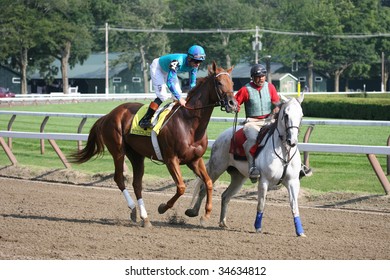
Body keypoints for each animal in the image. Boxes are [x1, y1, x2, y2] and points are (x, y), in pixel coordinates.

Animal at [70, 61, 238, 228]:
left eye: (232, 83)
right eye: (219, 82)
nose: (233, 104)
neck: (189, 123)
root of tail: (108, 115)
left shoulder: (194, 160)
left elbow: (208, 182)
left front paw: (205, 214)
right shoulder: (171, 159)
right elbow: (181, 187)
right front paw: (163, 207)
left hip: (136, 155)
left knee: (137, 184)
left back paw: (145, 218)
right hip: (118, 151)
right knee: (119, 178)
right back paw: (133, 209)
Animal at [184, 94, 306, 236]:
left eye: (301, 115)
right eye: (286, 115)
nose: (292, 141)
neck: (283, 151)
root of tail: (222, 136)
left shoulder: (293, 182)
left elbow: (294, 206)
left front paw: (300, 231)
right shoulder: (264, 181)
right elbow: (261, 204)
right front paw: (258, 227)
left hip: (239, 178)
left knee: (225, 196)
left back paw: (223, 222)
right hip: (216, 168)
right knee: (204, 189)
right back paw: (195, 213)